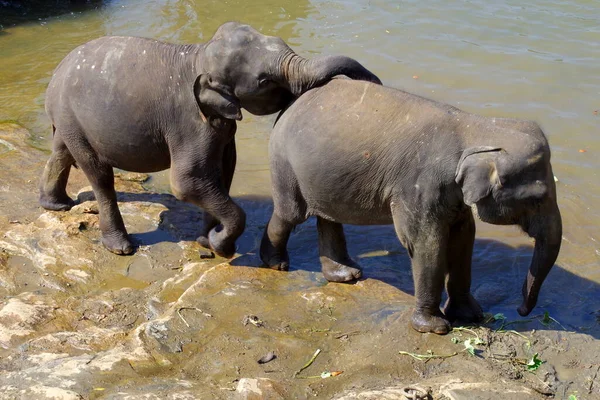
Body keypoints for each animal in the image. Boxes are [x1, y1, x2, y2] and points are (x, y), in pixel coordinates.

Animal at [41, 21, 380, 258]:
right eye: (264, 81)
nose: (374, 80)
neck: (199, 54)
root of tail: (56, 73)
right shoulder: (189, 120)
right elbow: (187, 181)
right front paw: (221, 246)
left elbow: (223, 170)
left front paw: (207, 240)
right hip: (76, 121)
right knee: (99, 174)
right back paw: (121, 247)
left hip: (68, 120)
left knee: (61, 151)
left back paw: (55, 205)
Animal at [262, 77, 564, 334]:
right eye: (537, 198)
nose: (521, 310)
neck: (477, 127)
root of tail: (291, 102)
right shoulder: (418, 186)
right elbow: (426, 243)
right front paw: (435, 327)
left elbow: (463, 238)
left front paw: (471, 316)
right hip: (284, 162)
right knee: (291, 214)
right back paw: (276, 264)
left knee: (328, 217)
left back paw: (345, 275)